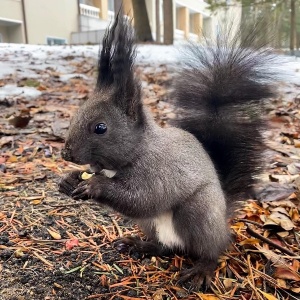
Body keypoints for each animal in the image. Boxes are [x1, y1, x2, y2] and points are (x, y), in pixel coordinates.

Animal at [58, 12, 276, 290]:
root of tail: (223, 219)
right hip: (150, 224)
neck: (135, 153)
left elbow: (145, 198)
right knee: (164, 247)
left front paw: (95, 186)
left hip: (198, 213)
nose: (66, 154)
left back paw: (202, 269)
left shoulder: (160, 171)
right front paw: (69, 180)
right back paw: (140, 245)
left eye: (100, 127)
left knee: (211, 250)